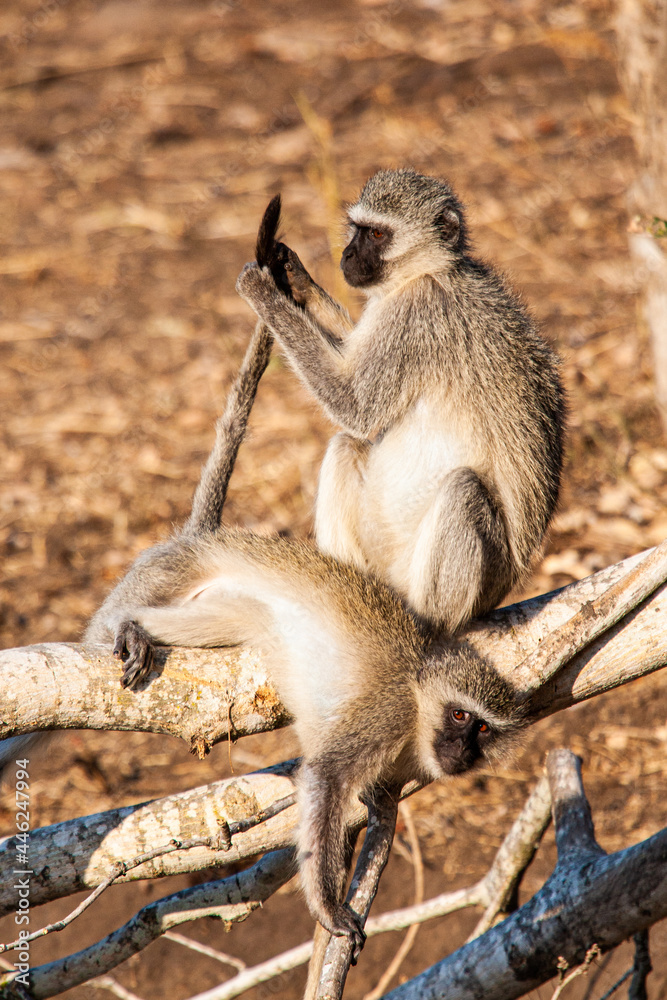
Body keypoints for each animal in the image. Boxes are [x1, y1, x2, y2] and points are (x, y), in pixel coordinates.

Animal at [85, 195, 528, 952]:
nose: (467, 753)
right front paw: (327, 904)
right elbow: (323, 778)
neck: (419, 697)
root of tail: (209, 538)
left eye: (485, 731)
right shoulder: (379, 719)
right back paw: (137, 628)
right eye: (462, 719)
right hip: (183, 569)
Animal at [237, 168, 568, 628]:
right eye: (358, 229)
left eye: (377, 234)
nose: (347, 255)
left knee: (463, 488)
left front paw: (262, 289)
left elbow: (353, 403)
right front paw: (297, 278)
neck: (428, 271)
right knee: (346, 446)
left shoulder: (416, 313)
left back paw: (425, 621)